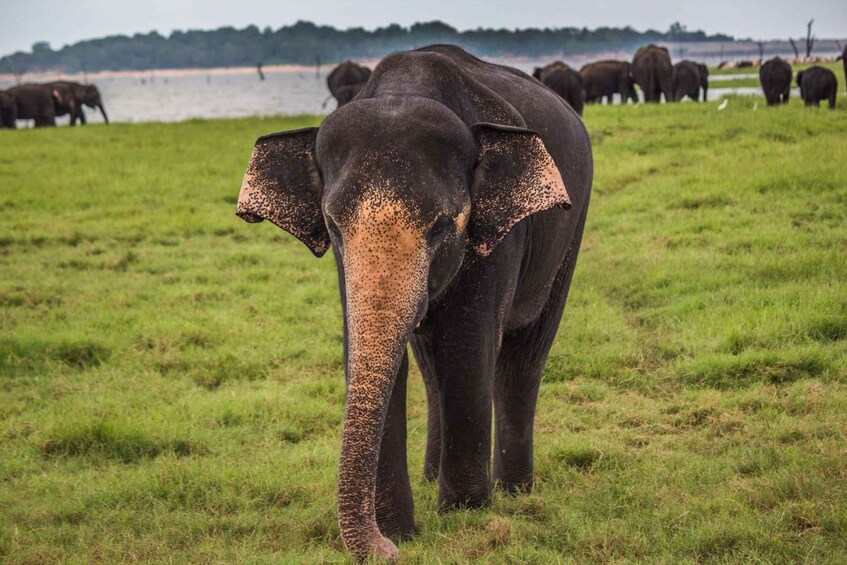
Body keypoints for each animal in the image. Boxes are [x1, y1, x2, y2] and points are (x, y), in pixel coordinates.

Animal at [235, 45, 592, 564]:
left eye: (442, 226)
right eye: (333, 226)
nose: (386, 551)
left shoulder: (497, 237)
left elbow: (467, 345)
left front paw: (464, 517)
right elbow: (376, 354)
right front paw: (401, 531)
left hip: (571, 228)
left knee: (523, 356)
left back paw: (513, 491)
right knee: (430, 366)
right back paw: (432, 477)